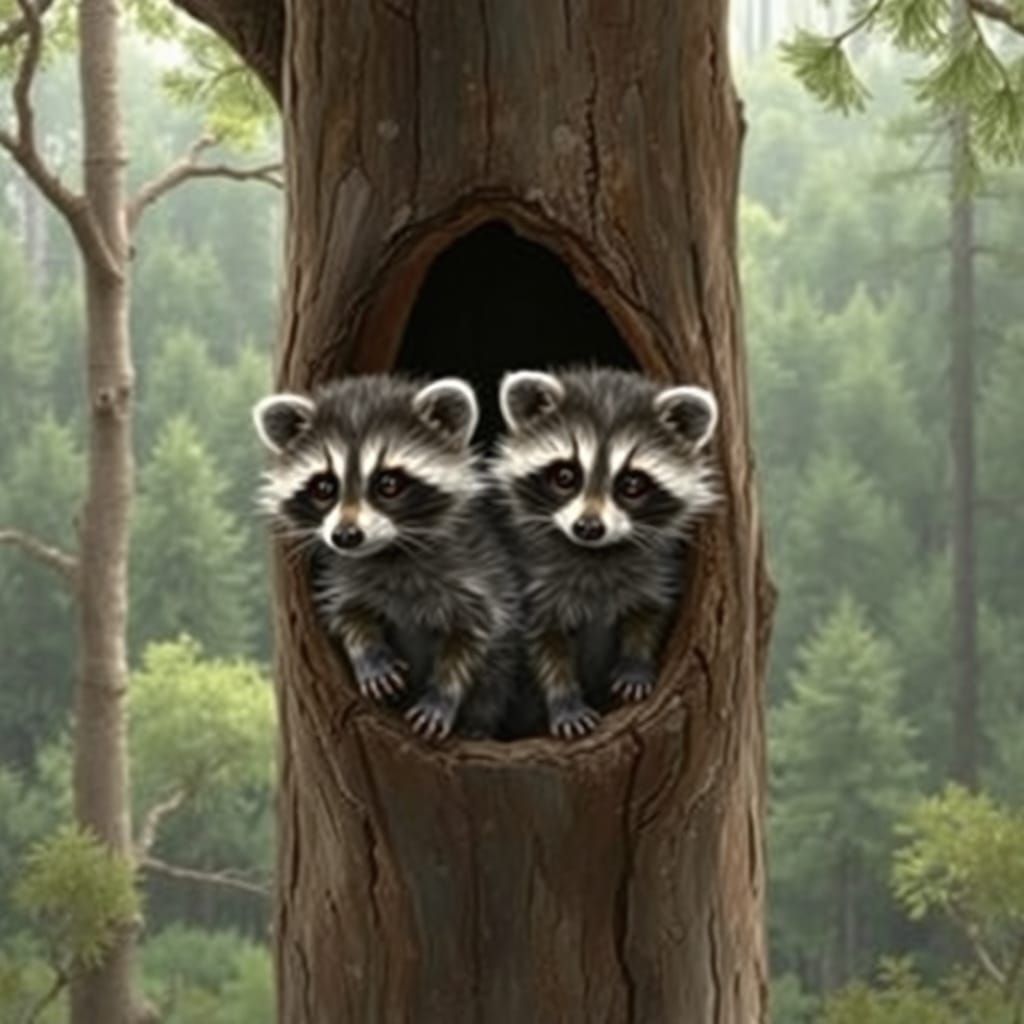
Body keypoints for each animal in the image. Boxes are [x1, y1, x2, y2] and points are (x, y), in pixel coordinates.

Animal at [253, 374, 518, 741]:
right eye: (324, 487)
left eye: (388, 484)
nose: (346, 536)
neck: (389, 552)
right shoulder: (341, 575)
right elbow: (348, 613)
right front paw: (370, 655)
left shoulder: (480, 571)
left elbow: (471, 637)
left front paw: (443, 695)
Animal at [492, 367, 719, 739]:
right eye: (565, 476)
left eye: (632, 484)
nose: (588, 527)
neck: (595, 553)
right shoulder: (532, 578)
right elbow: (545, 643)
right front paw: (564, 700)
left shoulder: (656, 568)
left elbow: (649, 613)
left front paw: (635, 664)